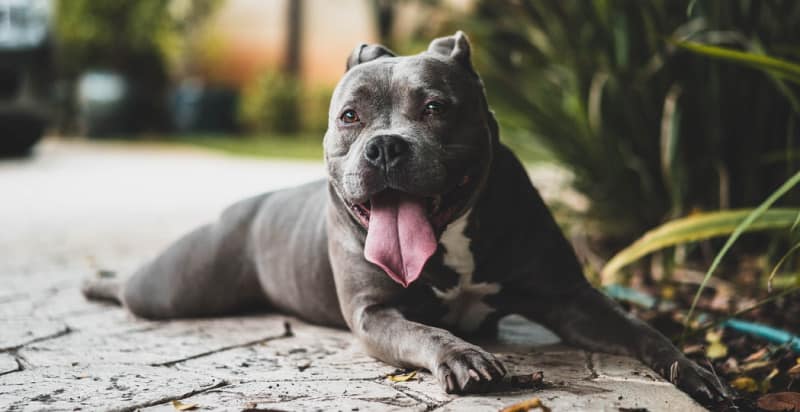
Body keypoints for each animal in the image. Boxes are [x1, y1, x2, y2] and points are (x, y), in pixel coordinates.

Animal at [83, 32, 732, 406]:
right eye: (350, 116)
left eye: (436, 108)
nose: (385, 147)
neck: (451, 238)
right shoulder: (376, 314)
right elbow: (425, 331)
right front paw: (464, 356)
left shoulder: (571, 299)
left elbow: (640, 330)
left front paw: (691, 369)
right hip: (175, 286)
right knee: (134, 288)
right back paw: (98, 282)